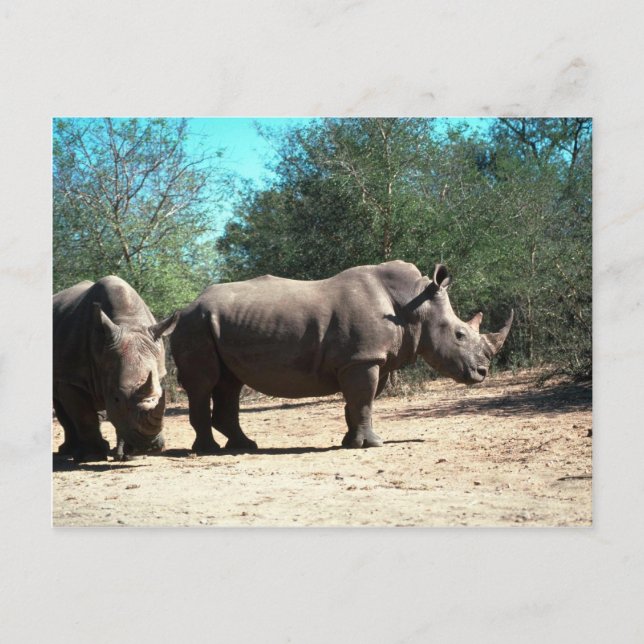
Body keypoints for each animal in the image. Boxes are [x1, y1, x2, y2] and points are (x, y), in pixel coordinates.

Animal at [53, 276, 178, 461]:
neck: (127, 322)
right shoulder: (72, 378)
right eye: (117, 398)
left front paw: (127, 456)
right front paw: (92, 456)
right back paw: (69, 451)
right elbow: (84, 416)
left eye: (161, 396)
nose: (149, 446)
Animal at [170, 260, 513, 453]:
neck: (414, 305)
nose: (482, 372)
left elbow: (357, 403)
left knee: (229, 384)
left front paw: (351, 442)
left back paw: (244, 446)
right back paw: (208, 451)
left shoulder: (366, 359)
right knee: (204, 384)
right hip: (194, 324)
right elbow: (363, 401)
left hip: (214, 325)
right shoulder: (362, 359)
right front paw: (372, 445)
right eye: (459, 335)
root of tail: (186, 306)